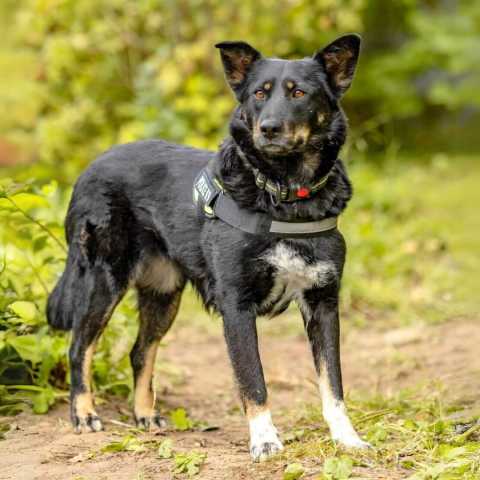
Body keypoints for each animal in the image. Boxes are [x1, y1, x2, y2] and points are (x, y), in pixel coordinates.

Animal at [47, 33, 368, 462]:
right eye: (259, 93)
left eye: (299, 92)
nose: (268, 128)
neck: (285, 195)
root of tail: (90, 167)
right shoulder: (236, 306)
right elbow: (253, 381)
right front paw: (265, 441)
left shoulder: (323, 303)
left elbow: (332, 383)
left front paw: (346, 438)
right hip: (103, 280)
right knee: (79, 345)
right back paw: (83, 414)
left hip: (163, 293)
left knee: (139, 351)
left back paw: (145, 415)